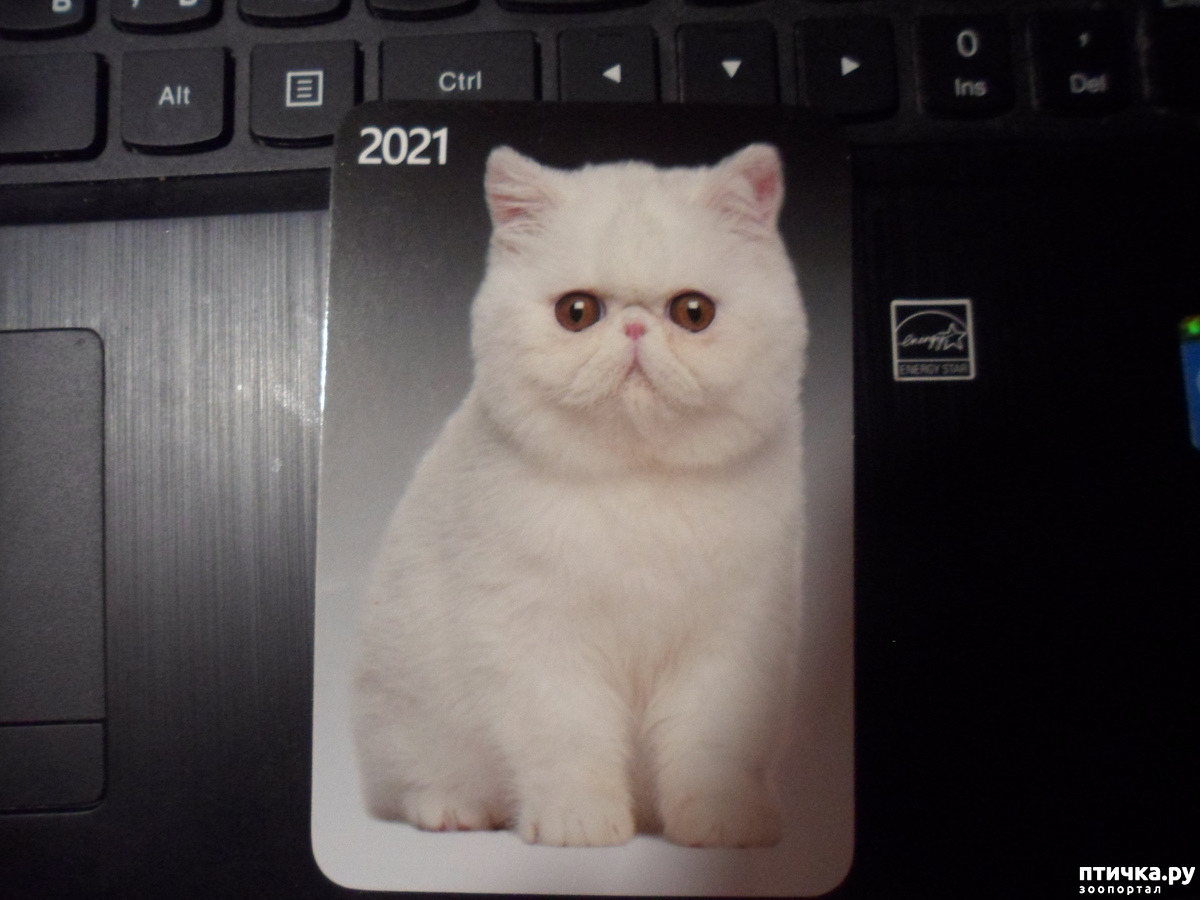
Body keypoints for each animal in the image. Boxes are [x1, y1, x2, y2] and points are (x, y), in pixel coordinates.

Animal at [353, 142, 808, 849]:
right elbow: (568, 740)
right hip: (403, 708)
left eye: (693, 313)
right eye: (577, 312)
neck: (638, 484)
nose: (634, 330)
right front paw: (579, 824)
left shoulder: (734, 639)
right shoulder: (537, 637)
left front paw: (720, 825)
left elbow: (712, 744)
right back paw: (454, 809)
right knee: (412, 782)